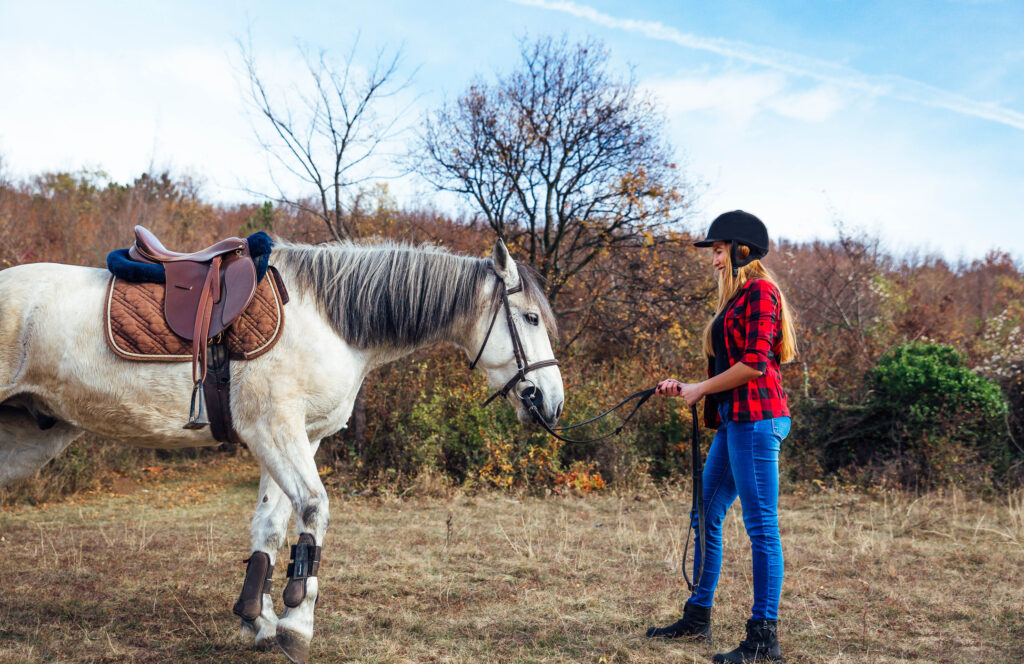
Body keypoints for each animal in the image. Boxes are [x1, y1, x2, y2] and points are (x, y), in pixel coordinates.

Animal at [0, 237, 565, 659]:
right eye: (531, 319)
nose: (551, 402)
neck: (327, 319)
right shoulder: (275, 430)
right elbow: (313, 511)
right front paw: (297, 624)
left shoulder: (297, 437)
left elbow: (270, 527)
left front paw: (258, 619)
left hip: (27, 436)